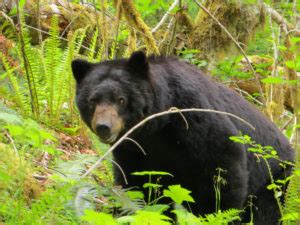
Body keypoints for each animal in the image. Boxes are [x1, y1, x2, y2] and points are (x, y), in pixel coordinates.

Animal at [72, 51, 292, 224]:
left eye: (121, 99)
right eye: (92, 100)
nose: (104, 127)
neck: (158, 126)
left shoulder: (195, 119)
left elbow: (222, 174)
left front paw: (214, 216)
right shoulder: (134, 149)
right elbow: (139, 186)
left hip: (272, 180)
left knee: (266, 212)